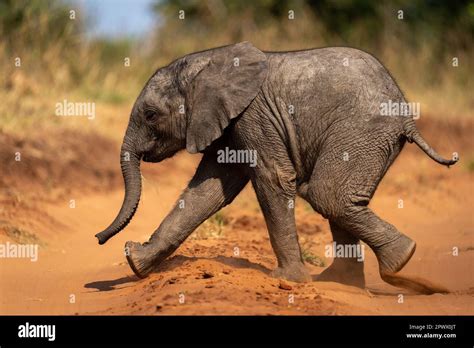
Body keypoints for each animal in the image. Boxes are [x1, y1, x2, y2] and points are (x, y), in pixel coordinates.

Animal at [95, 41, 456, 294]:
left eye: (151, 115)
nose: (98, 238)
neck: (208, 62)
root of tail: (407, 115)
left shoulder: (254, 116)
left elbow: (273, 178)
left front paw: (290, 281)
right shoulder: (230, 123)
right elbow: (209, 191)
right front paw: (136, 262)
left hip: (361, 130)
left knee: (327, 195)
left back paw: (400, 265)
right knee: (338, 199)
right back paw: (344, 282)